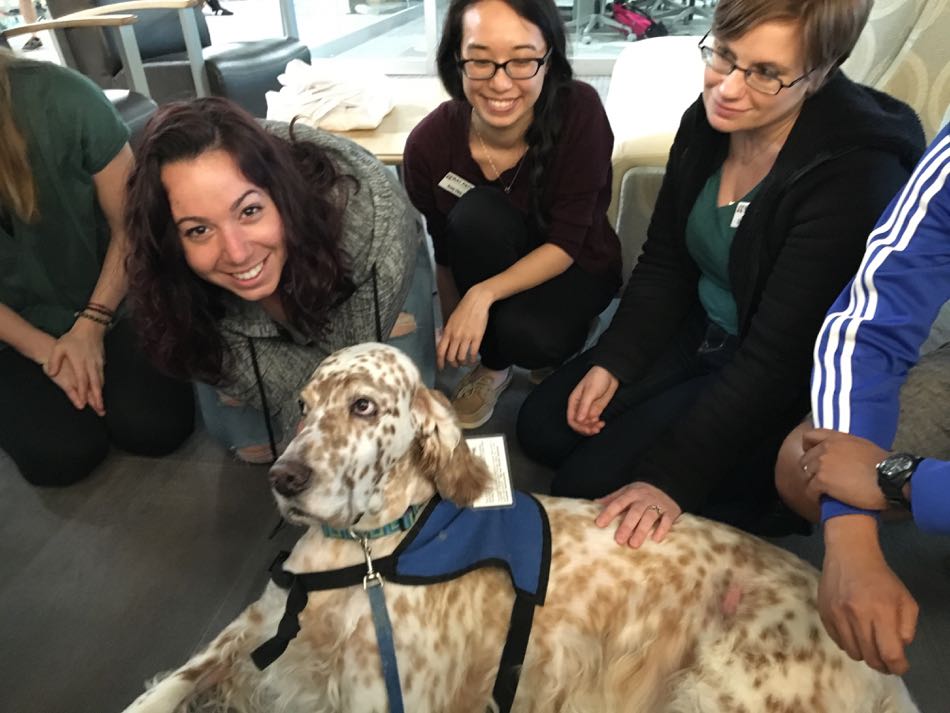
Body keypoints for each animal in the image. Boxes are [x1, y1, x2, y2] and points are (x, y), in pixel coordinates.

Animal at [124, 342, 924, 708]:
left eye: (363, 406)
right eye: (301, 406)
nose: (284, 478)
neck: (371, 554)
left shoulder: (384, 694)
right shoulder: (256, 626)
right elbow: (167, 686)